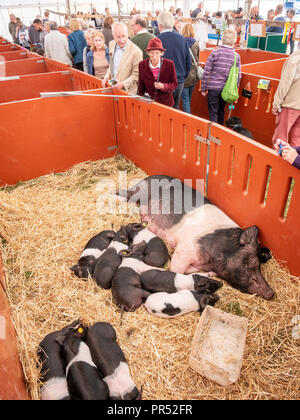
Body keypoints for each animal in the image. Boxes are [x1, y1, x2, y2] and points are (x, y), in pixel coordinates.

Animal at [116, 174, 276, 298]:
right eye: (253, 263)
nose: (271, 293)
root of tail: (148, 177)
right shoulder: (185, 249)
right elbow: (176, 269)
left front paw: (211, 273)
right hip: (140, 191)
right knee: (125, 195)